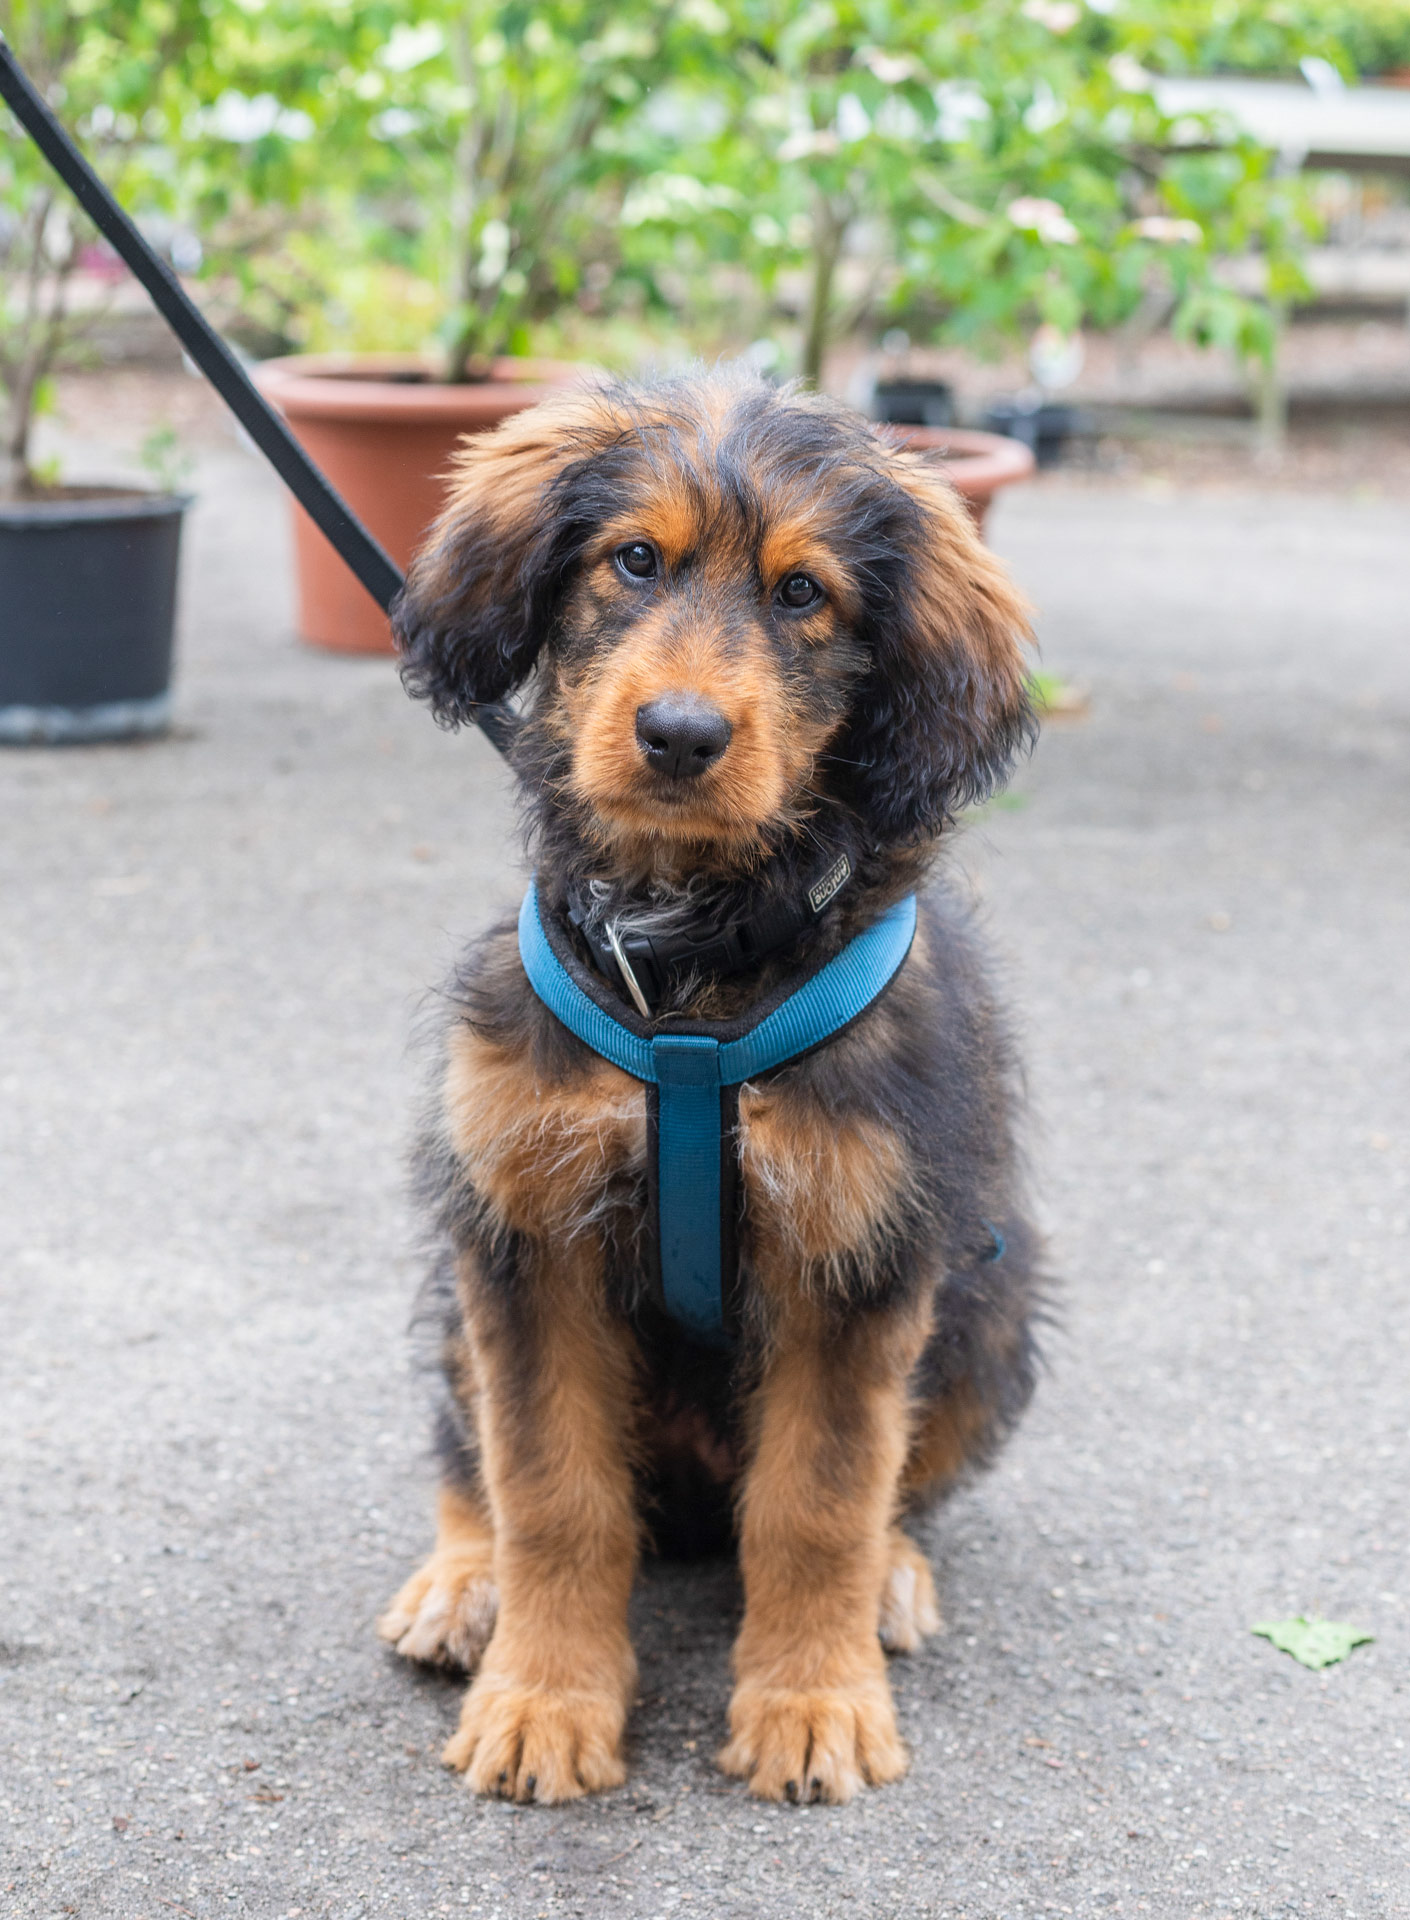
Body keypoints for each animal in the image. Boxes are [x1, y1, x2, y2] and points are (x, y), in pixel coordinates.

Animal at [380, 366, 1045, 1804]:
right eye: (635, 560)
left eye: (803, 594)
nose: (678, 735)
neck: (686, 965)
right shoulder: (526, 1238)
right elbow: (548, 1492)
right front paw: (544, 1701)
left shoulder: (858, 1257)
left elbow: (820, 1502)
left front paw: (811, 1702)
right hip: (459, 1275)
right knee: (471, 1464)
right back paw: (461, 1587)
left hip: (992, 1299)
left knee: (886, 1493)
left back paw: (891, 1584)